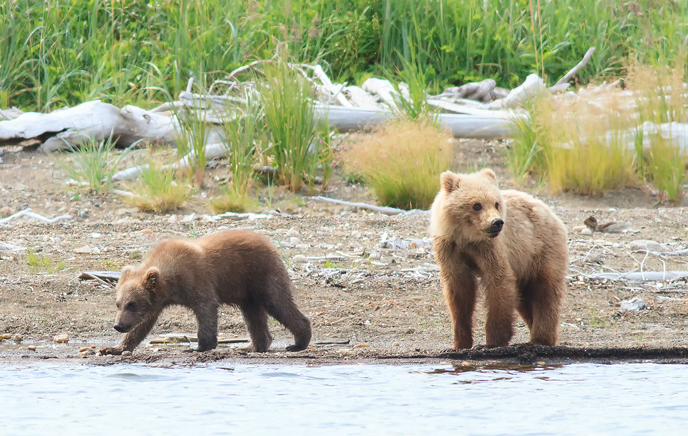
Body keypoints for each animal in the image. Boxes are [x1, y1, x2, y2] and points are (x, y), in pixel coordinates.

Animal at [97, 228, 312, 354]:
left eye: (132, 304)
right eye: (118, 304)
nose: (118, 325)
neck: (170, 281)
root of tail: (269, 243)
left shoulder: (196, 279)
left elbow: (206, 309)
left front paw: (200, 346)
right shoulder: (157, 301)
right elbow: (142, 325)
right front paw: (113, 348)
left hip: (261, 274)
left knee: (278, 302)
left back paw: (297, 343)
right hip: (247, 291)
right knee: (254, 316)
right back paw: (252, 345)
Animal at [430, 169, 568, 350]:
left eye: (496, 203)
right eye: (477, 205)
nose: (497, 222)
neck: (467, 238)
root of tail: (550, 212)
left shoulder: (490, 249)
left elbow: (499, 282)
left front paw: (493, 341)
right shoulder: (451, 250)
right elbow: (459, 292)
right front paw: (460, 342)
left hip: (542, 250)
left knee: (545, 293)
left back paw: (540, 339)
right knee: (525, 299)